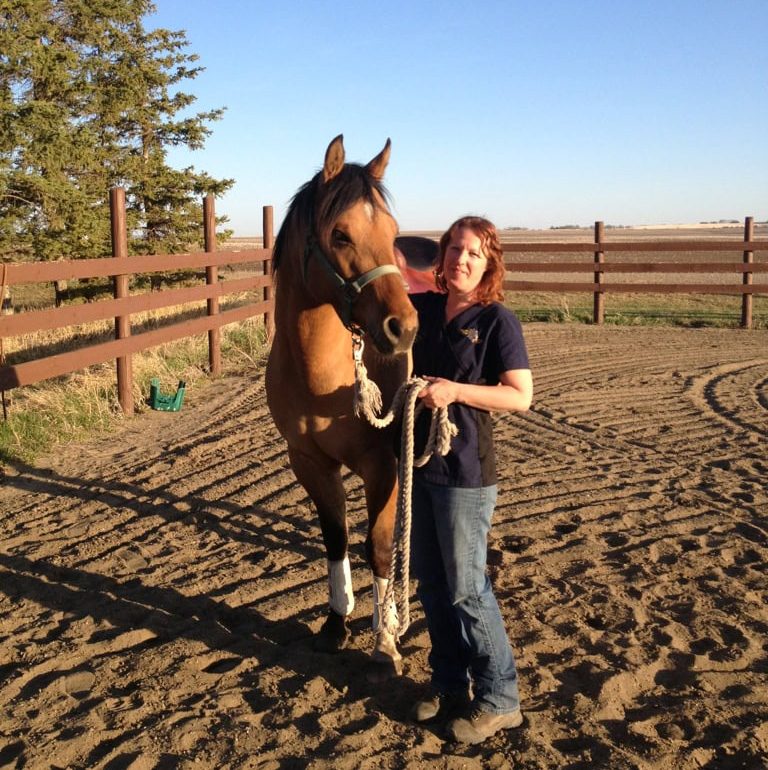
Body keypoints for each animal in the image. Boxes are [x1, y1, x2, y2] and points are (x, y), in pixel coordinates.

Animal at [265, 135, 418, 672]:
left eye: (392, 232)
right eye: (340, 234)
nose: (403, 328)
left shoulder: (381, 464)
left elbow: (377, 546)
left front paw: (386, 636)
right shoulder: (309, 462)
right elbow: (336, 539)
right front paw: (336, 622)